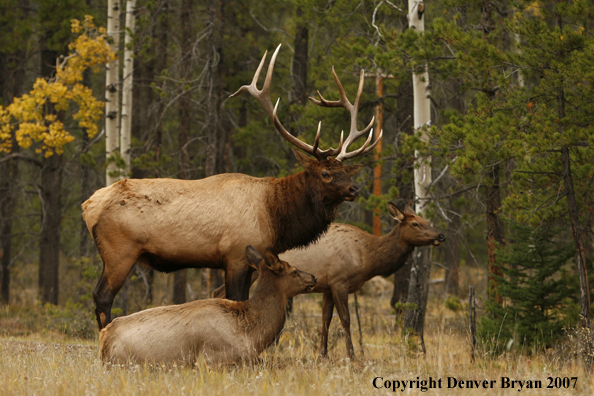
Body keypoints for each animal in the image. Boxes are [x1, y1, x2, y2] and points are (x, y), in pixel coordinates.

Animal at [81, 42, 380, 328]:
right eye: (325, 173)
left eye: (345, 170)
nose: (354, 189)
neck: (275, 216)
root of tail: (87, 206)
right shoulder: (235, 255)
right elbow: (236, 300)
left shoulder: (251, 261)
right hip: (119, 253)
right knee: (101, 297)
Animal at [280, 203, 442, 360]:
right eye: (415, 223)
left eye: (427, 221)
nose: (441, 235)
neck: (367, 259)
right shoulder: (339, 281)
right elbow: (345, 318)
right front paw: (351, 355)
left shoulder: (328, 286)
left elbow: (326, 318)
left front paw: (322, 355)